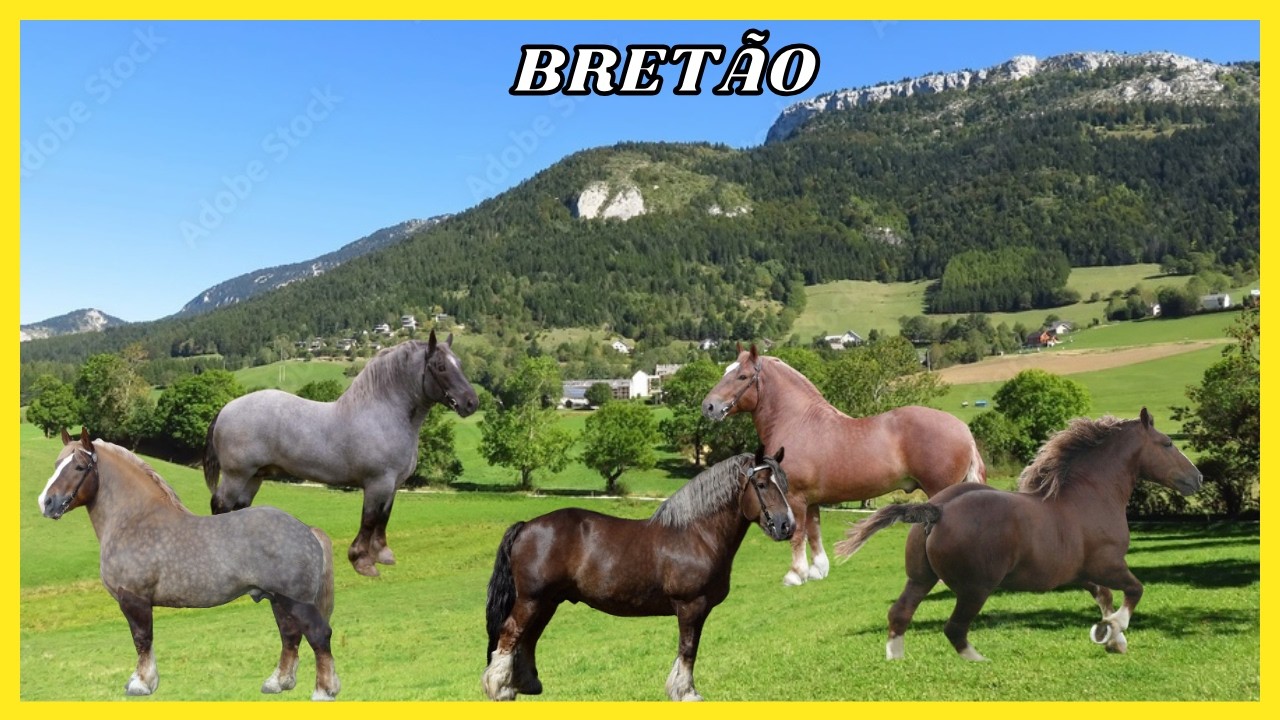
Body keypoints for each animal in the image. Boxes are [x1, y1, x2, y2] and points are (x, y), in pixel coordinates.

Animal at [37, 428, 341, 700]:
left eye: (79, 466)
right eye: (56, 464)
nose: (46, 503)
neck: (135, 520)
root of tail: (307, 530)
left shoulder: (134, 600)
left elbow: (142, 639)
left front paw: (141, 684)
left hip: (296, 602)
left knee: (318, 635)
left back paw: (324, 691)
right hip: (278, 600)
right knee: (290, 636)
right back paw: (277, 683)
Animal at [205, 330, 479, 577]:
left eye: (460, 363)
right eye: (441, 366)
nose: (471, 402)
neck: (383, 413)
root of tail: (227, 408)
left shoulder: (393, 485)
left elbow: (383, 518)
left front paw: (382, 555)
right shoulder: (377, 483)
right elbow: (369, 519)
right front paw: (362, 562)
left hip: (255, 476)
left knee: (241, 508)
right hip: (236, 475)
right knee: (221, 505)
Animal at [482, 447, 795, 702]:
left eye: (785, 485)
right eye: (762, 484)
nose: (786, 526)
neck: (696, 534)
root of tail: (526, 526)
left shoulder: (698, 609)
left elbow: (689, 649)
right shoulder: (690, 606)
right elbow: (688, 648)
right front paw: (686, 693)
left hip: (547, 602)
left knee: (528, 637)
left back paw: (526, 685)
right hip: (531, 600)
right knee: (510, 633)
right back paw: (500, 689)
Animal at [702, 343, 984, 586]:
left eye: (742, 376)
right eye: (726, 371)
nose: (709, 406)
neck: (797, 423)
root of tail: (962, 429)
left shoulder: (794, 497)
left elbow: (798, 533)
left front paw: (795, 575)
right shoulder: (811, 500)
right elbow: (814, 532)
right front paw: (818, 571)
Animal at [834, 408, 1202, 661]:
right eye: (1168, 443)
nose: (1197, 478)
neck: (1091, 496)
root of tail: (937, 511)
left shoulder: (1082, 573)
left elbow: (1105, 598)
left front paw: (1111, 638)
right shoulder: (1108, 564)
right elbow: (1134, 590)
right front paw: (1115, 629)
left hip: (921, 578)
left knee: (900, 613)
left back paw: (897, 660)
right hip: (976, 587)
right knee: (954, 628)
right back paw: (980, 660)